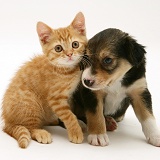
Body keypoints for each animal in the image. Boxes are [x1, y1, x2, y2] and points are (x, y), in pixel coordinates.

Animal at [1, 12, 87, 149]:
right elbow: (69, 115)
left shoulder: (67, 97)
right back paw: (40, 132)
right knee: (30, 127)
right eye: (58, 48)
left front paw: (77, 124)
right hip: (30, 102)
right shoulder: (55, 99)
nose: (69, 54)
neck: (65, 70)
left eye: (75, 44)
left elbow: (69, 112)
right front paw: (75, 132)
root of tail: (7, 121)